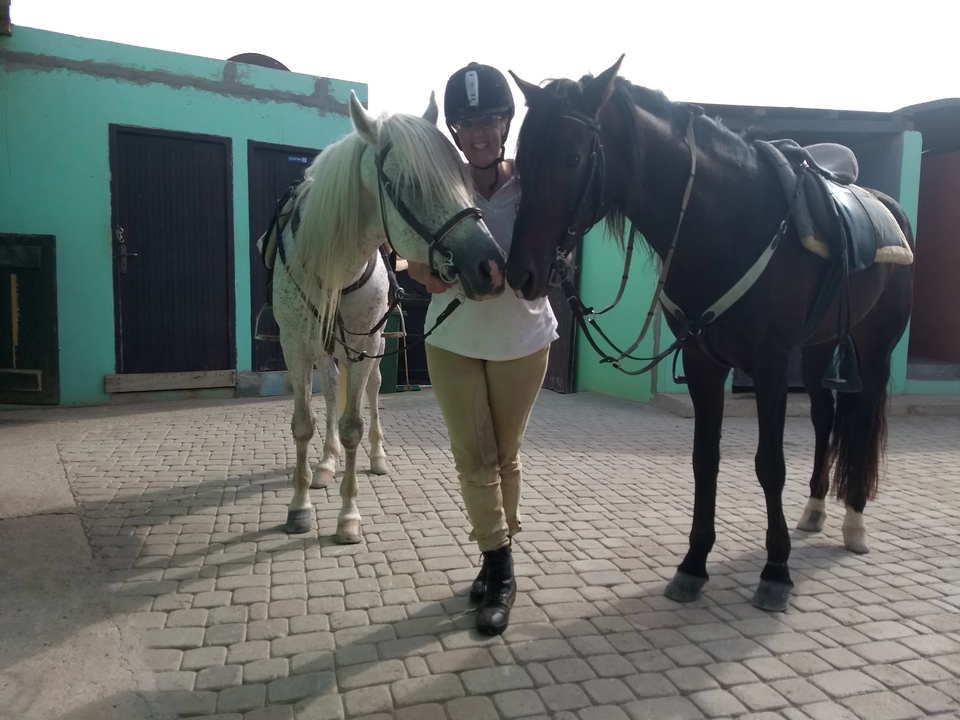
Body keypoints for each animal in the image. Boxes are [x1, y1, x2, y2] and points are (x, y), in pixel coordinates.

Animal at [268, 90, 506, 542]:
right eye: (409, 184)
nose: (490, 266)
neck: (335, 269)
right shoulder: (294, 346)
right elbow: (304, 423)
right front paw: (299, 505)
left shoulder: (365, 345)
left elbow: (353, 427)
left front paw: (348, 515)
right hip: (325, 350)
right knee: (330, 392)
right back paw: (325, 464)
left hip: (373, 348)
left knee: (374, 392)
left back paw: (375, 457)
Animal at [506, 59, 914, 611]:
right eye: (521, 160)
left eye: (572, 158)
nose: (520, 273)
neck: (727, 222)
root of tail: (890, 208)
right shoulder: (704, 365)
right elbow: (705, 461)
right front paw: (693, 564)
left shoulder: (767, 367)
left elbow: (769, 465)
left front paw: (776, 571)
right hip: (815, 352)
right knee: (826, 418)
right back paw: (814, 510)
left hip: (872, 352)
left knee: (862, 419)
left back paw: (853, 522)